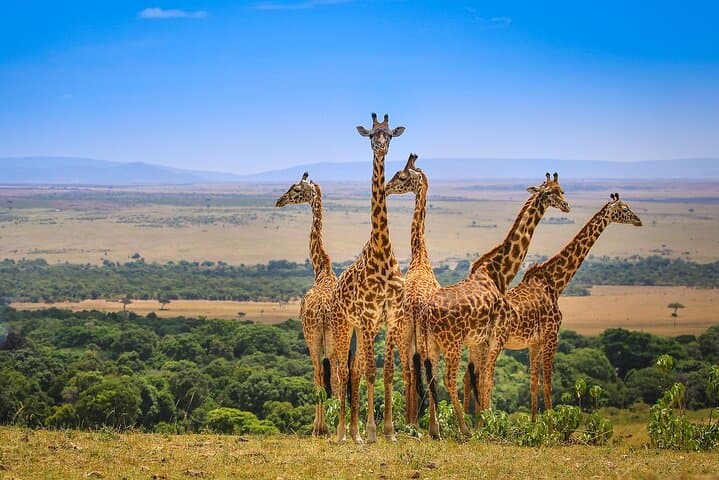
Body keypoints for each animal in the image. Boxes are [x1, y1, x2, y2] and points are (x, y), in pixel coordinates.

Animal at [417, 174, 570, 438]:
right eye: (552, 192)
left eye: (561, 190)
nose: (567, 206)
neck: (497, 272)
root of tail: (426, 313)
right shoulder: (494, 338)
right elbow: (487, 380)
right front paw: (487, 425)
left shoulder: (481, 341)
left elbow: (480, 379)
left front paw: (484, 421)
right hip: (452, 344)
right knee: (448, 379)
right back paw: (464, 429)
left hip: (431, 344)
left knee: (432, 377)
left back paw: (435, 430)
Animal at [466, 193, 642, 418]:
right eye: (625, 209)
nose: (639, 220)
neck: (555, 283)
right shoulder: (552, 336)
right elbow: (548, 385)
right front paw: (550, 424)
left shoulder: (535, 343)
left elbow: (533, 384)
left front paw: (533, 423)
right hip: (491, 344)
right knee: (482, 379)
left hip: (477, 345)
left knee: (471, 378)